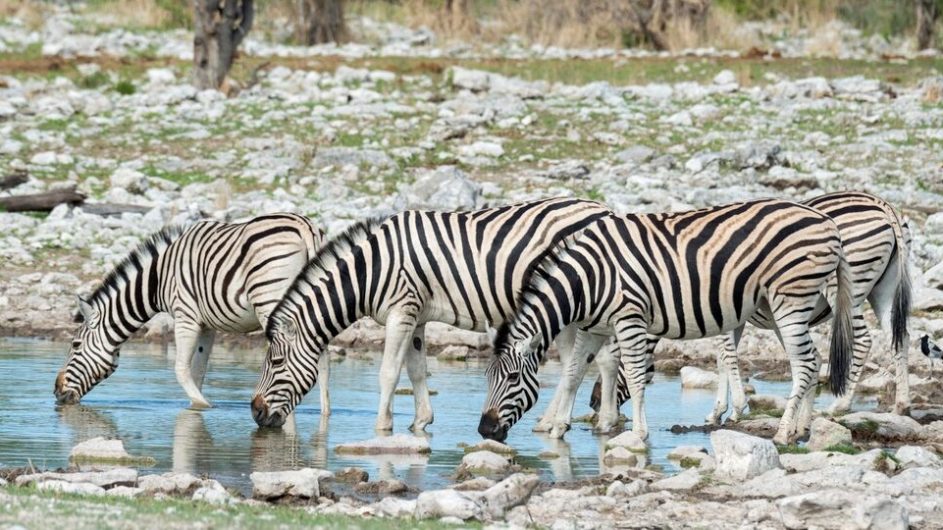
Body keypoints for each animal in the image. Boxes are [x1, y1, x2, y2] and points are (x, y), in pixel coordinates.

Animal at [55, 212, 330, 410]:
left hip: (272, 302)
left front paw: (204, 406)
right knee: (320, 360)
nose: (56, 392)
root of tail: (304, 226)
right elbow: (197, 372)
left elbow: (181, 369)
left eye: (76, 345)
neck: (158, 278)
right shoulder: (207, 324)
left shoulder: (185, 314)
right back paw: (325, 416)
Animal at [251, 196, 612, 432]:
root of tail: (602, 209)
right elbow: (417, 371)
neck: (370, 270)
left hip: (568, 307)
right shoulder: (417, 318)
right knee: (602, 360)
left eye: (276, 362)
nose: (255, 413)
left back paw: (558, 422)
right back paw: (600, 421)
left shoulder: (401, 311)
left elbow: (389, 372)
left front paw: (382, 427)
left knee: (577, 365)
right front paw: (420, 422)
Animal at [484, 196, 860, 444]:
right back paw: (801, 429)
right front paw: (559, 428)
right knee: (811, 361)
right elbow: (573, 373)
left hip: (790, 299)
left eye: (514, 377)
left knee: (805, 363)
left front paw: (638, 433)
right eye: (488, 378)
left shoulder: (629, 318)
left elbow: (636, 378)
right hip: (785, 305)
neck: (588, 280)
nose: (484, 430)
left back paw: (782, 433)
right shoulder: (594, 328)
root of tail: (827, 222)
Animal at [592, 190, 916, 424]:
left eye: (618, 365)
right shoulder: (728, 315)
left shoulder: (725, 313)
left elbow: (726, 357)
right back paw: (901, 404)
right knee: (899, 337)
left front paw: (734, 408)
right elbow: (723, 359)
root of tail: (882, 205)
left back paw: (841, 403)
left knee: (863, 340)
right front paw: (718, 411)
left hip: (847, 291)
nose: (593, 403)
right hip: (883, 291)